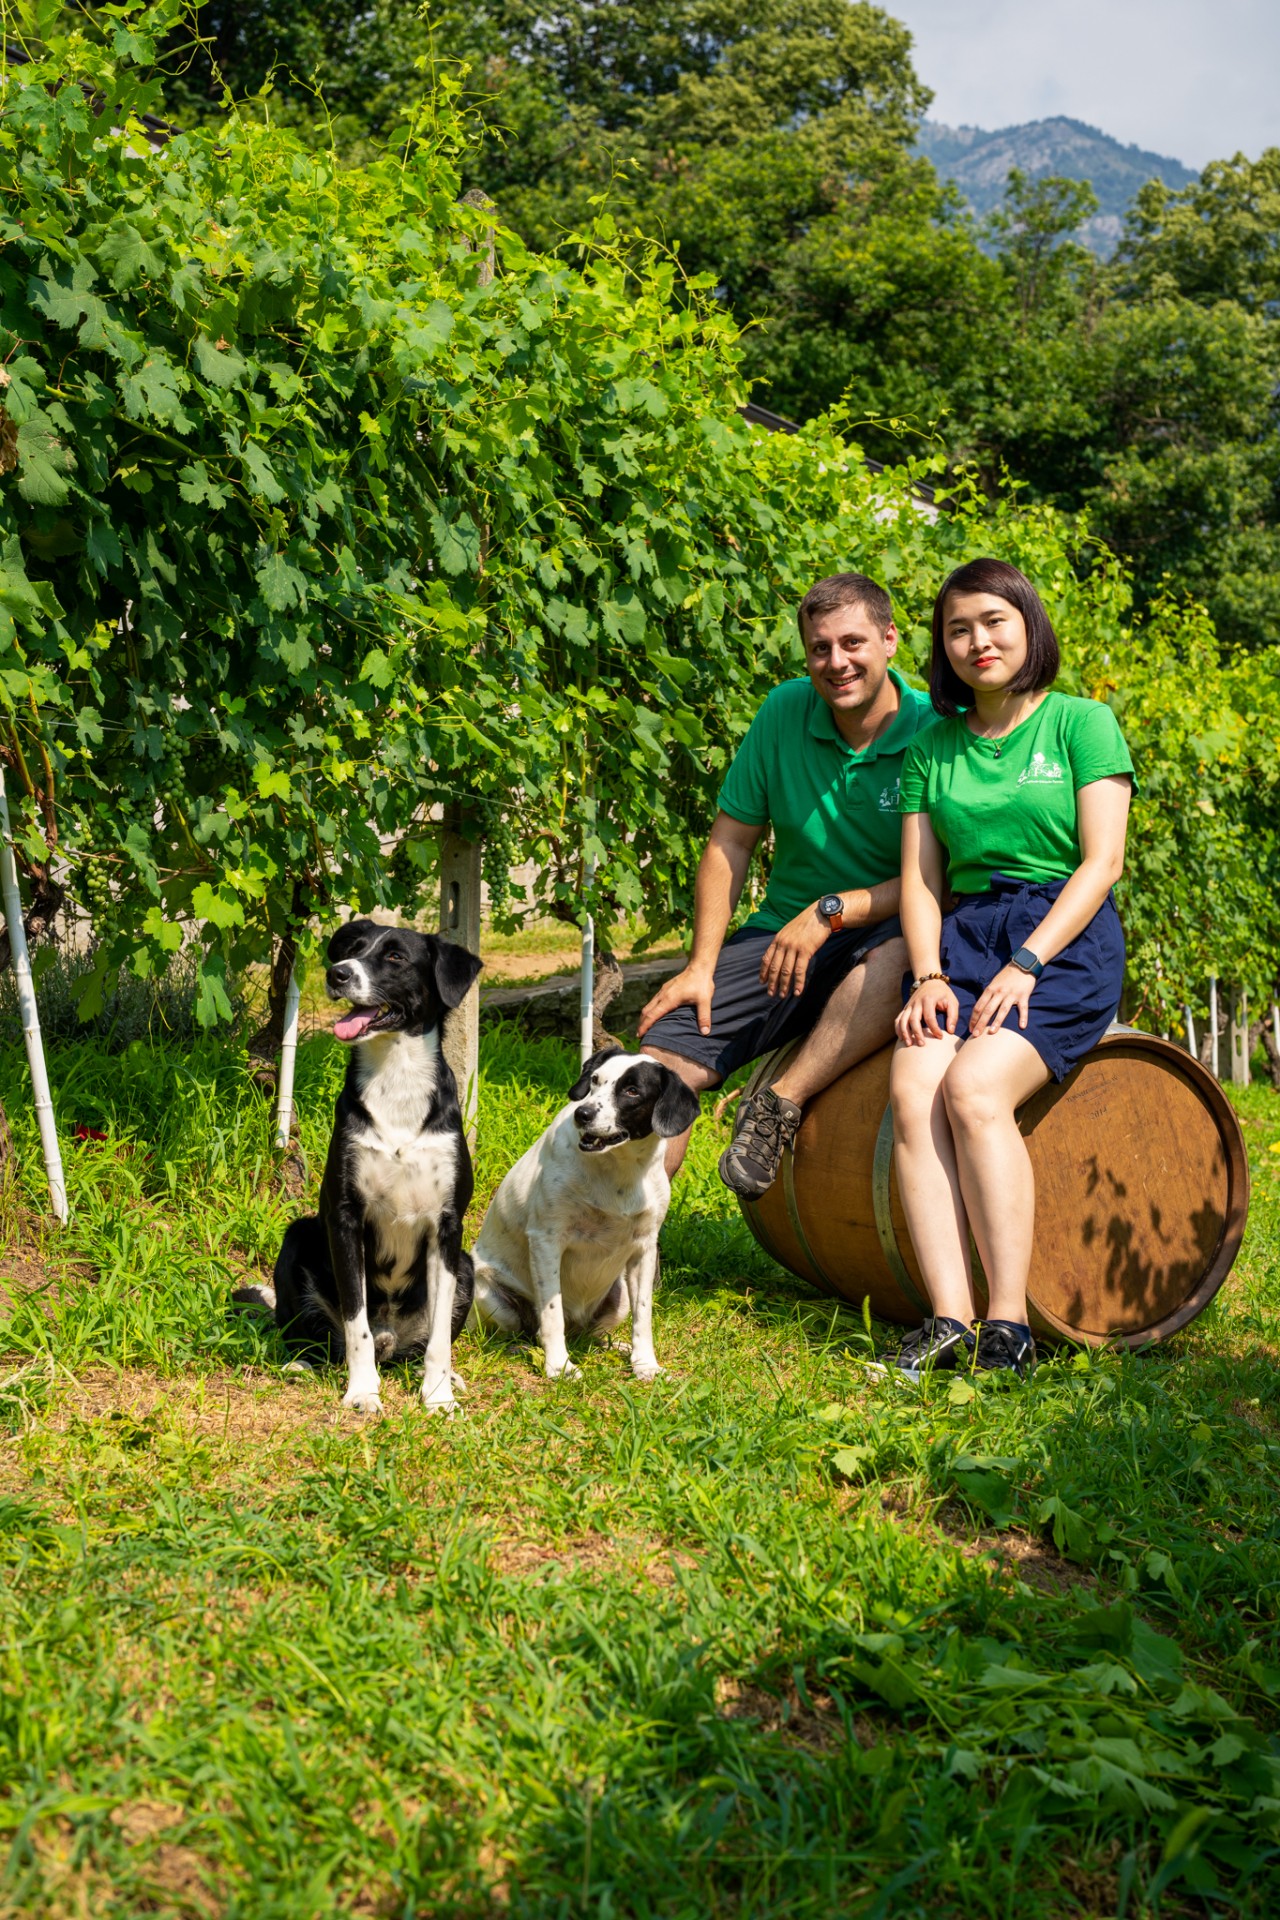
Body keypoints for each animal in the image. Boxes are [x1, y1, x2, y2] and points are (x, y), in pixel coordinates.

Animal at [268, 921, 483, 1420]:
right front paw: (363, 1392)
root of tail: (393, 1341)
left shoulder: (448, 1228)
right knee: (312, 1334)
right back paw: (300, 1362)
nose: (337, 973)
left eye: (396, 957)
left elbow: (439, 1340)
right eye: (352, 948)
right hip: (298, 1237)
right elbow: (356, 1323)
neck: (395, 1079)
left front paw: (437, 1395)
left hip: (467, 1266)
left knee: (423, 1342)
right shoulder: (345, 1218)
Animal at [474, 1052, 702, 1382]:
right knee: (527, 1331)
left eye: (632, 1090)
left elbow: (644, 1315)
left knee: (594, 1334)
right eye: (595, 1080)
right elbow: (552, 1314)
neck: (619, 1171)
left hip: (619, 1296)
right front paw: (560, 1366)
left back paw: (615, 1346)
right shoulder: (546, 1240)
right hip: (490, 1295)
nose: (582, 1114)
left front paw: (646, 1365)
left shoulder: (645, 1248)